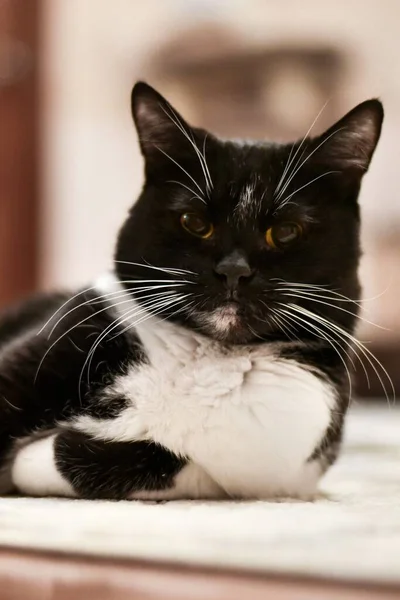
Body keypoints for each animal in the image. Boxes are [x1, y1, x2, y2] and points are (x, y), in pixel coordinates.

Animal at [0, 82, 386, 500]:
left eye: (285, 232)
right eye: (194, 222)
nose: (233, 271)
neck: (208, 360)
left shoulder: (279, 468)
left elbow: (148, 459)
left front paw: (33, 458)